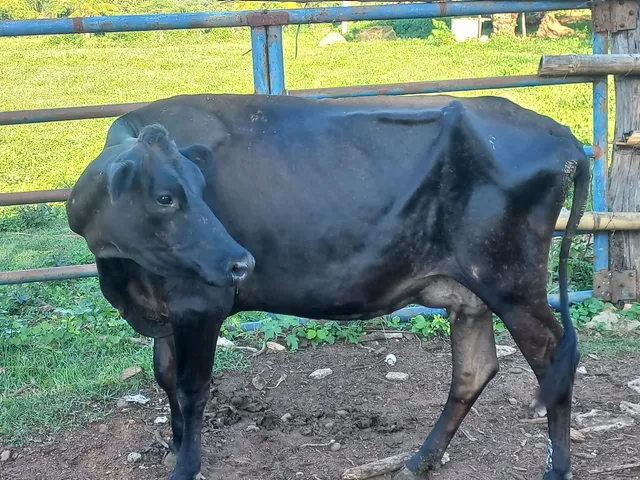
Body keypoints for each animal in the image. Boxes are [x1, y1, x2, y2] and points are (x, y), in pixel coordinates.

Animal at [66, 93, 589, 480]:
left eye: (198, 188)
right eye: (166, 197)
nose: (241, 262)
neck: (123, 274)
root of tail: (560, 134)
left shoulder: (200, 302)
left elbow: (193, 387)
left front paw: (187, 465)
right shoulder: (165, 307)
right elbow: (165, 377)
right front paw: (175, 448)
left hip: (512, 282)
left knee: (554, 356)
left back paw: (556, 468)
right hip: (471, 294)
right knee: (474, 371)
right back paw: (419, 461)